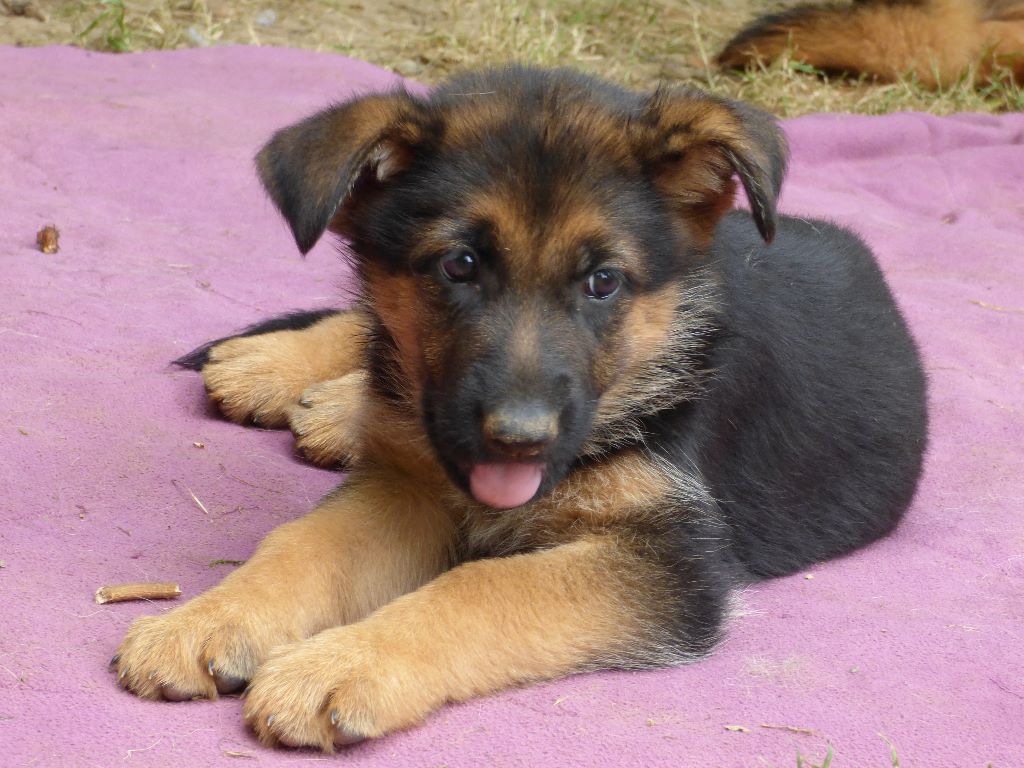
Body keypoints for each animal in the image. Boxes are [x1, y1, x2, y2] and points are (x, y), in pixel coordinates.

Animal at [112, 66, 929, 753]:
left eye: (603, 281)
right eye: (459, 266)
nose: (519, 439)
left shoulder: (670, 564)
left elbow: (483, 586)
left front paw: (339, 664)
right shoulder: (406, 486)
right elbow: (301, 546)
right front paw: (204, 619)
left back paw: (330, 405)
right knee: (366, 331)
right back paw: (281, 372)